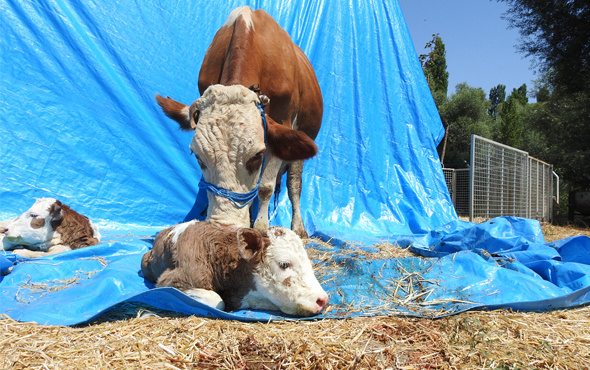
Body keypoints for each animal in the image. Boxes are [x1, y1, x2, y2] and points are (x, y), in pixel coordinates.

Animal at [156, 6, 324, 237]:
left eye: (257, 155)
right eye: (197, 157)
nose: (225, 226)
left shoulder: (283, 124)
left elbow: (265, 187)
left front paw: (261, 229)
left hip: (305, 136)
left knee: (294, 183)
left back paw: (298, 228)